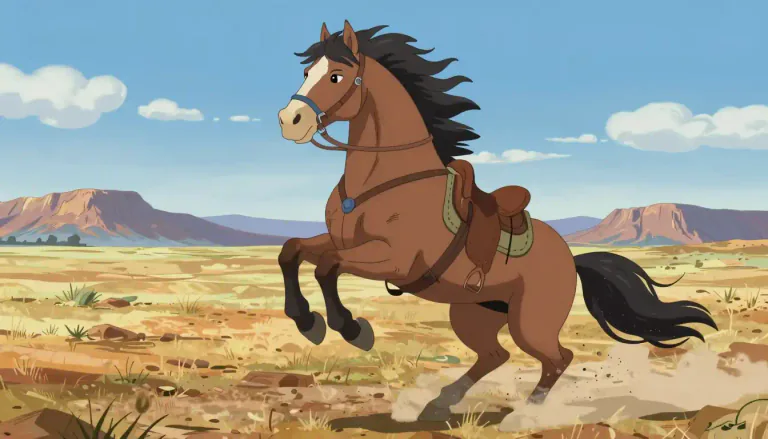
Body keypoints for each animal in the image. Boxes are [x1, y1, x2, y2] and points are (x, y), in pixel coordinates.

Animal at [276, 21, 717, 421]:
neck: (384, 181)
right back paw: (439, 404)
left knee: (557, 357)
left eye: (336, 75)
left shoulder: (394, 261)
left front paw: (351, 328)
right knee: (495, 354)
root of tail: (571, 259)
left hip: (529, 322)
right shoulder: (340, 241)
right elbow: (293, 251)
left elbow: (328, 266)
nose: (289, 119)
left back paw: (525, 415)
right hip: (474, 313)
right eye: (306, 72)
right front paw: (307, 320)